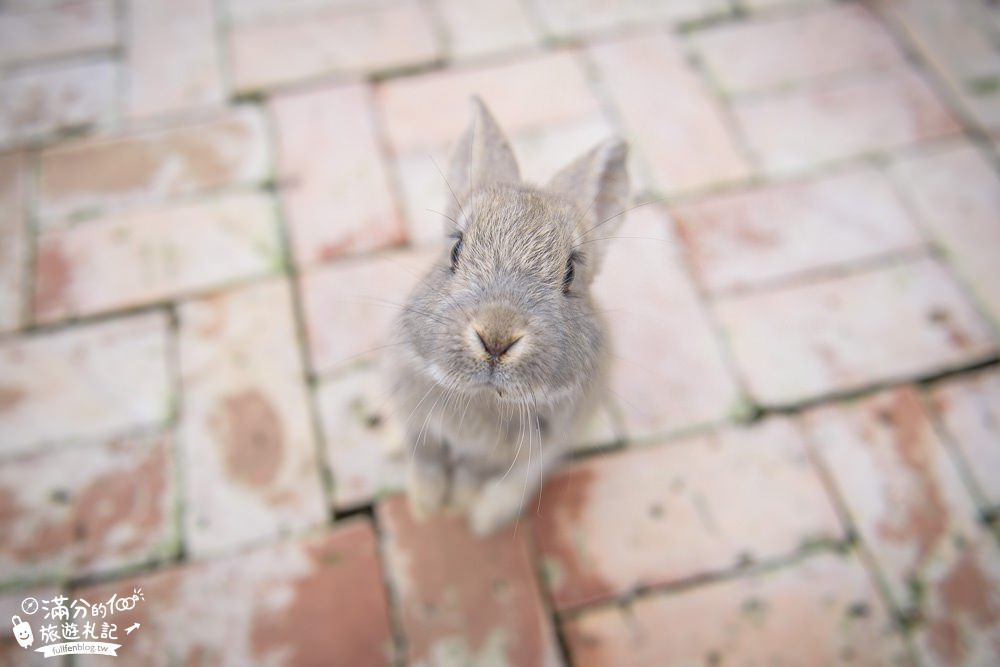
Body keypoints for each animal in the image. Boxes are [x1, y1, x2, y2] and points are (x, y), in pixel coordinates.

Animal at [382, 98, 624, 536]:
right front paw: (427, 507)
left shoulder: (540, 445)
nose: (497, 336)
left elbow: (496, 478)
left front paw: (474, 516)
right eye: (455, 249)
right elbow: (422, 459)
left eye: (571, 273)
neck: (484, 397)